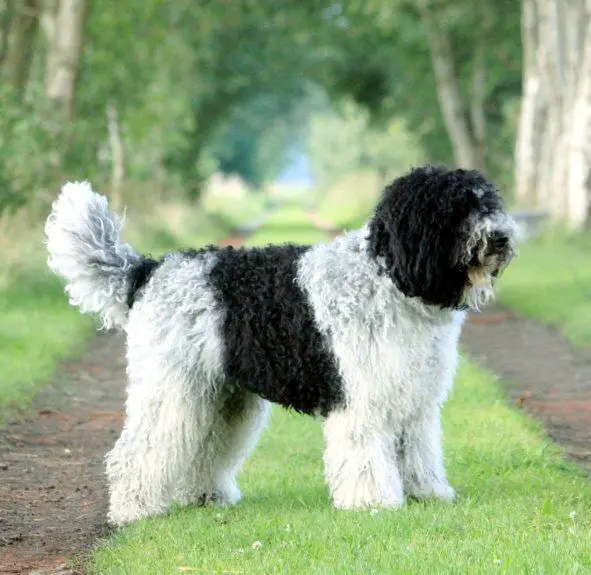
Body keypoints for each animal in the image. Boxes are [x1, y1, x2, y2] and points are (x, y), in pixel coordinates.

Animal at [46, 166, 520, 528]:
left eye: (488, 203)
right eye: (456, 209)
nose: (501, 237)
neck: (387, 281)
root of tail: (149, 270)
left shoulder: (413, 400)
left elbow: (420, 452)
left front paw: (428, 493)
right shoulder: (361, 401)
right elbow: (367, 457)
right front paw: (373, 503)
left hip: (221, 398)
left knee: (203, 451)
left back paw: (206, 496)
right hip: (171, 390)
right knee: (134, 454)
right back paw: (134, 511)